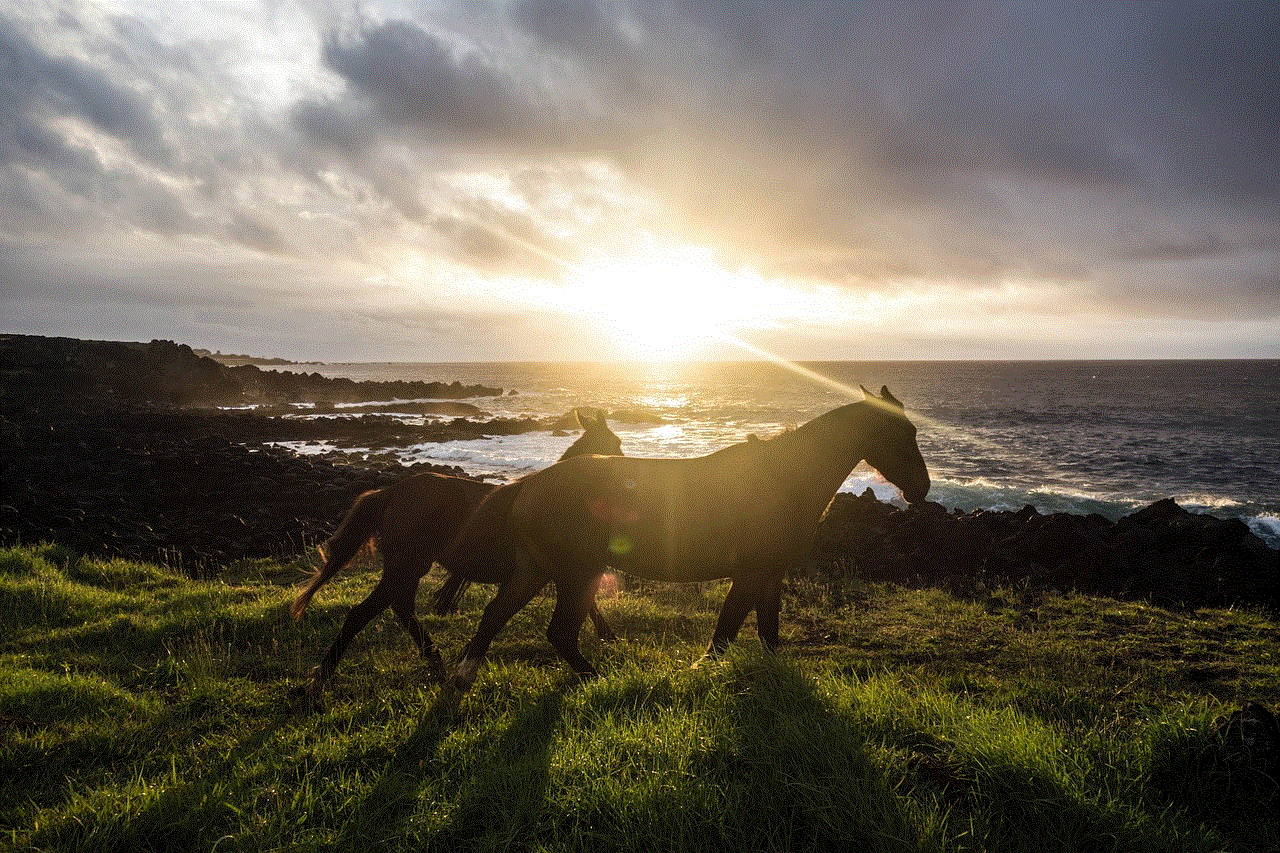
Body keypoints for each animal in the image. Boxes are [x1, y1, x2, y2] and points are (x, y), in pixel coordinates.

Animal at [291, 407, 629, 701]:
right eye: (615, 444)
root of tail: (391, 492)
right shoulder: (559, 567)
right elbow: (584, 606)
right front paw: (609, 636)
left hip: (410, 567)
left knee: (400, 606)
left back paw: (435, 661)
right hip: (407, 564)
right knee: (362, 613)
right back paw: (318, 680)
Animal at [437, 384, 931, 686]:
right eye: (900, 432)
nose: (921, 489)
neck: (783, 476)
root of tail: (530, 483)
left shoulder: (770, 575)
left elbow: (769, 635)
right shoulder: (749, 574)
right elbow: (725, 633)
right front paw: (700, 672)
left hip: (537, 569)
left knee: (496, 615)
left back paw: (464, 676)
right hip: (577, 574)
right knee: (557, 632)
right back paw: (596, 679)